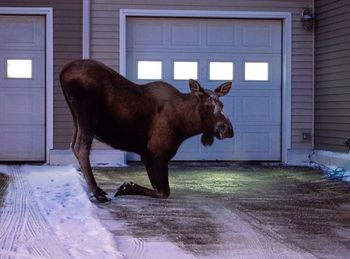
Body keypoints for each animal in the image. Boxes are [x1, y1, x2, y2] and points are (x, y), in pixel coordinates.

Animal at [59, 59, 235, 203]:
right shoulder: (157, 150)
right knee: (81, 147)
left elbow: (159, 189)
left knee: (73, 145)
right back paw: (97, 192)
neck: (185, 125)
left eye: (222, 105)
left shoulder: (147, 154)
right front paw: (126, 187)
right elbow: (164, 192)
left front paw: (126, 187)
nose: (228, 129)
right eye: (208, 105)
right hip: (87, 115)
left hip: (76, 118)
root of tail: (63, 72)